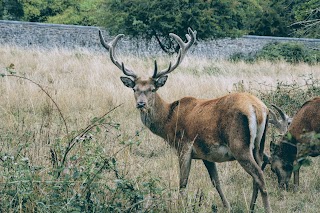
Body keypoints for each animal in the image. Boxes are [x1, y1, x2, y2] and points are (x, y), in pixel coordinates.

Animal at [99, 28, 272, 213]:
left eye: (152, 89)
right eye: (135, 89)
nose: (141, 104)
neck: (168, 120)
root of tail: (258, 109)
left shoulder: (184, 146)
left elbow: (182, 183)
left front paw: (180, 205)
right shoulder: (206, 154)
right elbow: (216, 182)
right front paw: (227, 207)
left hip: (239, 145)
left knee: (260, 177)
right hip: (258, 146)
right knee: (260, 171)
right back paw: (252, 207)